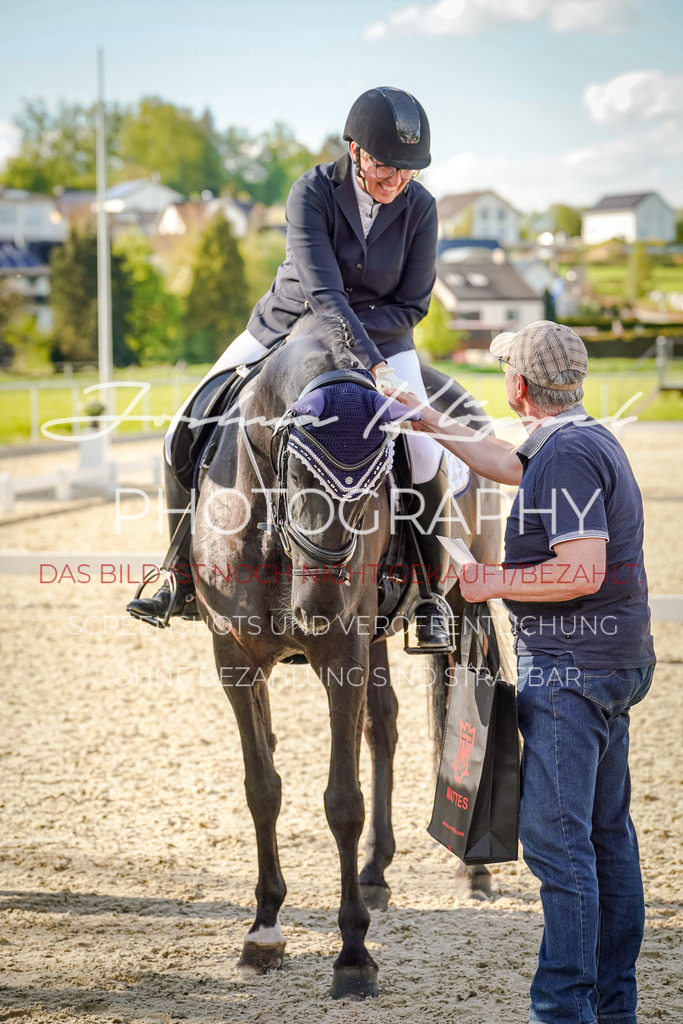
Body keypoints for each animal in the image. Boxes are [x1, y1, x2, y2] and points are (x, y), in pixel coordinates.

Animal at [192, 313, 501, 999]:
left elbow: (342, 802)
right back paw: (376, 872)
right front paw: (264, 930)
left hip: (461, 596)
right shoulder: (235, 655)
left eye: (376, 490)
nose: (314, 608)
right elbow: (262, 787)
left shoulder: (342, 652)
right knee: (382, 724)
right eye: (296, 474)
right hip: (375, 635)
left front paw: (353, 954)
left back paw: (471, 871)